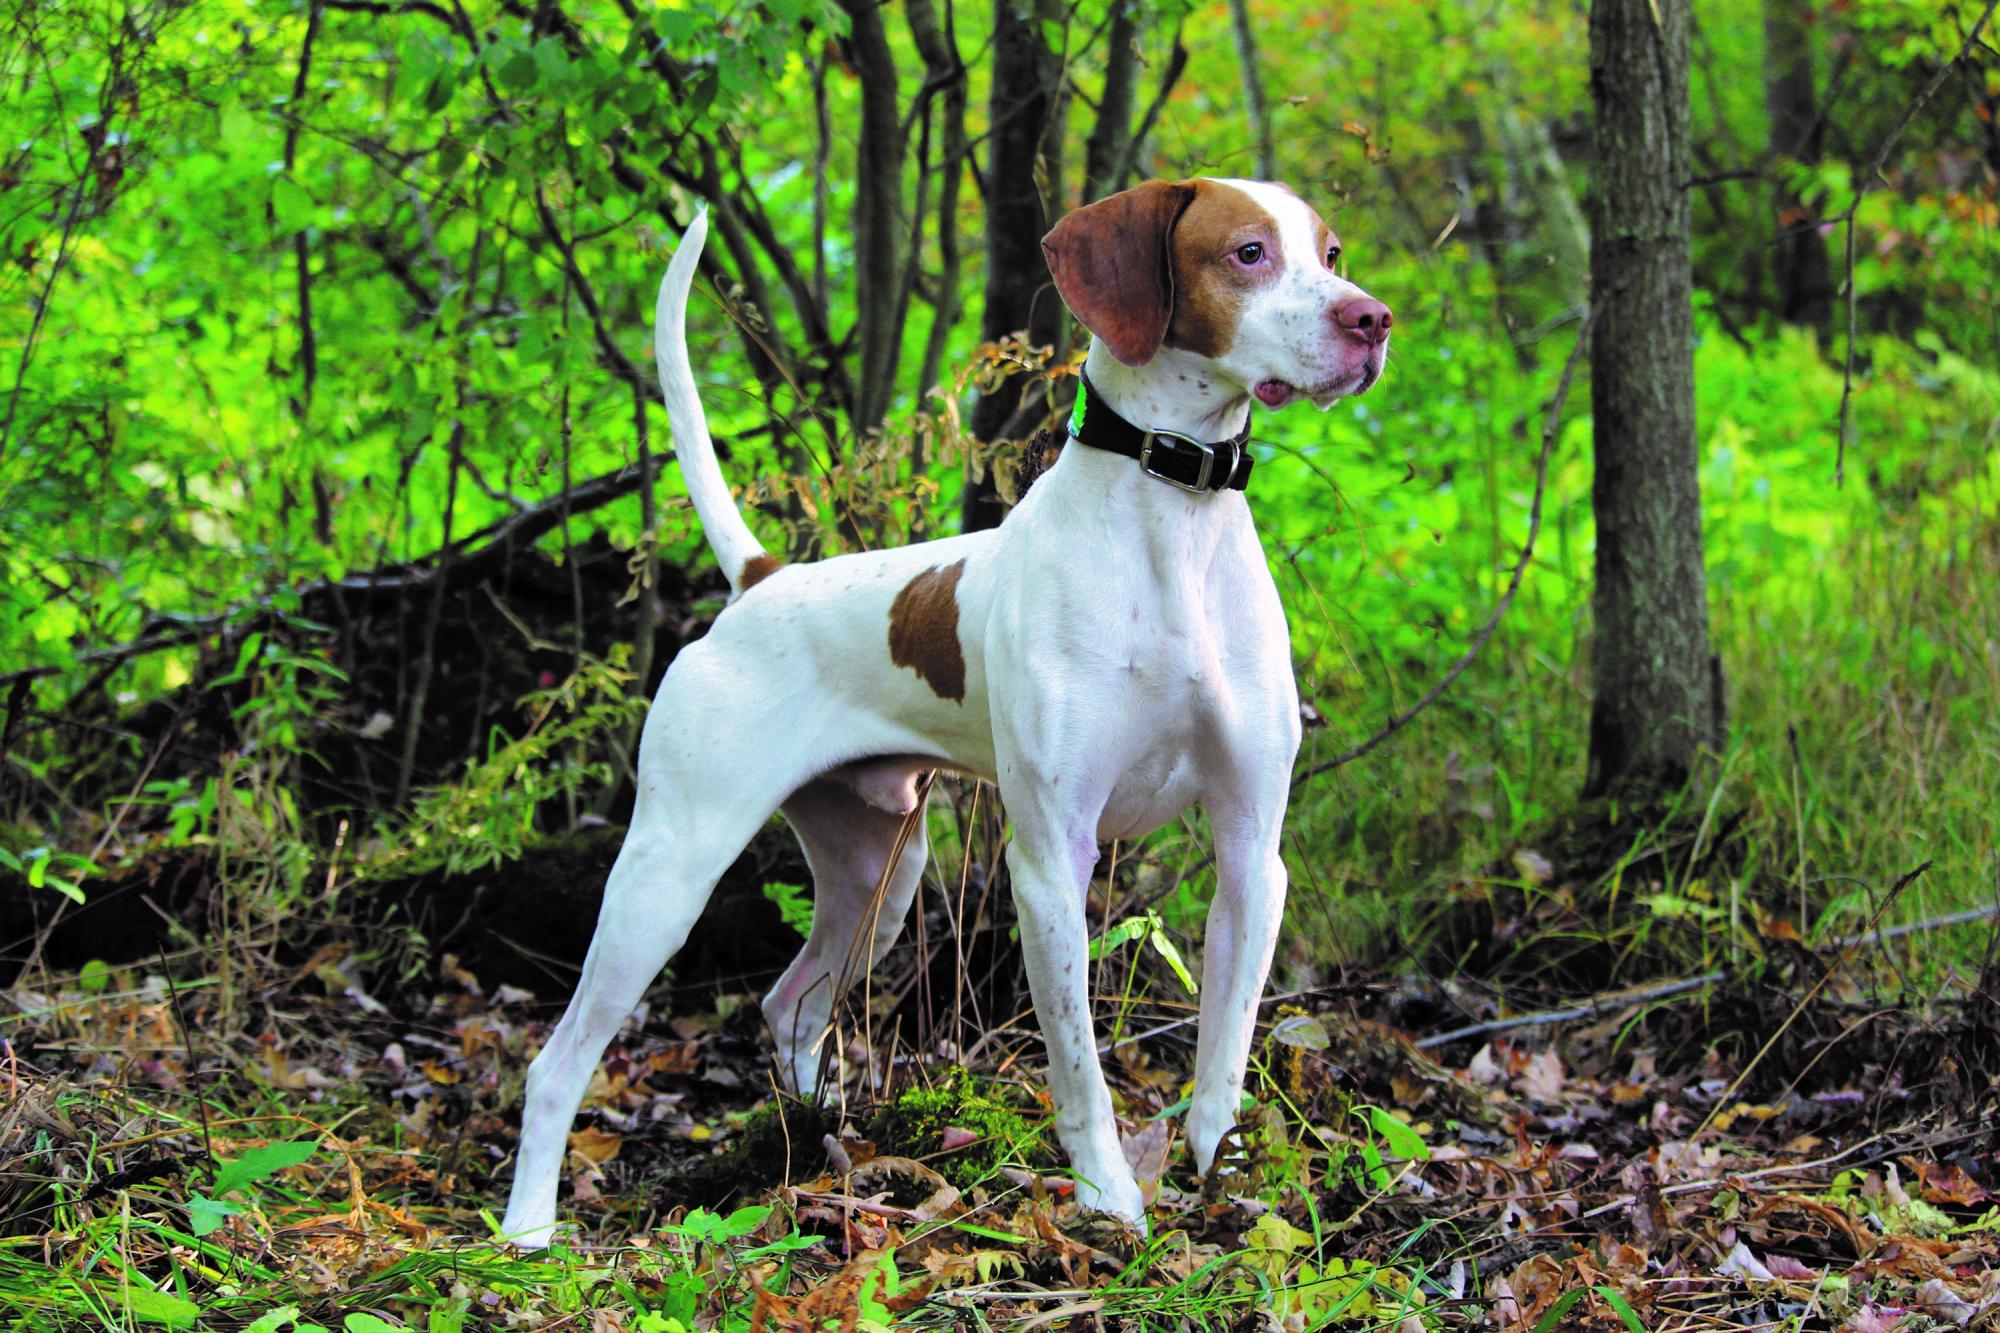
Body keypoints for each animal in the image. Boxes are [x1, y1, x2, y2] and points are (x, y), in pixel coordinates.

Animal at [504, 179, 1392, 1248]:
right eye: (1248, 252)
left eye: (1331, 252)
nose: (1373, 319)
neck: (1174, 518)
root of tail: (762, 579)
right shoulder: (1050, 861)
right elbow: (1079, 1067)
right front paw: (1109, 1199)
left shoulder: (1252, 850)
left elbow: (1224, 1044)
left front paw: (1222, 1174)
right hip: (668, 873)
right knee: (557, 1063)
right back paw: (526, 1232)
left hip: (878, 877)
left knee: (791, 1004)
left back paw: (827, 1136)